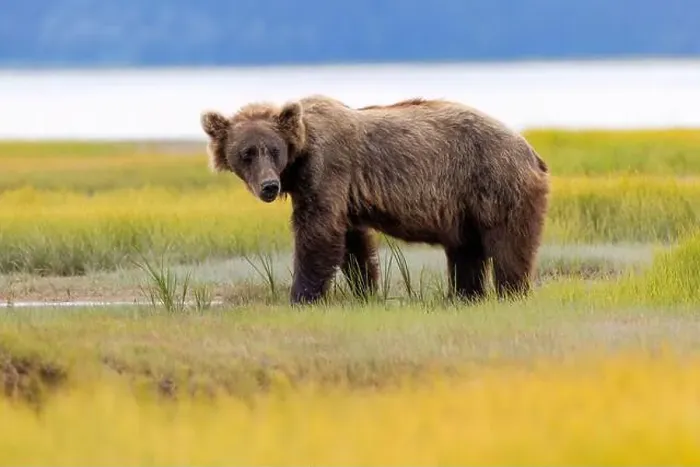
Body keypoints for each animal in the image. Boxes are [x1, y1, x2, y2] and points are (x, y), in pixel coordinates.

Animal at [200, 95, 550, 305]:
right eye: (246, 153)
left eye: (273, 150)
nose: (269, 186)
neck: (300, 158)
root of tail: (531, 150)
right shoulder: (342, 194)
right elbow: (353, 242)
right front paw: (365, 289)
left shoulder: (328, 170)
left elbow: (318, 233)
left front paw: (301, 296)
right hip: (464, 206)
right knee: (466, 251)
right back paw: (463, 295)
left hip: (494, 181)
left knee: (508, 246)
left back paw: (510, 292)